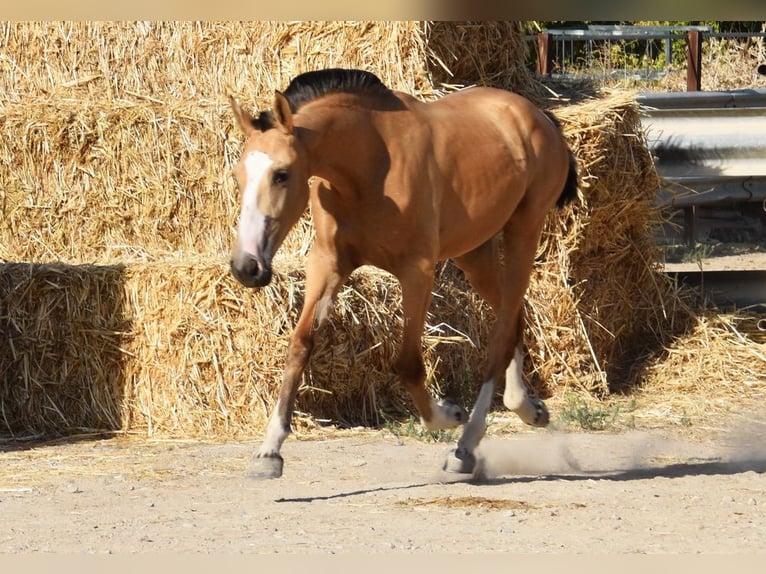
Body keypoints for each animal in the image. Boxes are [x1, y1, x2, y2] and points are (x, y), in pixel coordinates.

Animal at [231, 68, 580, 482]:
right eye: (238, 176)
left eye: (281, 174)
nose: (246, 267)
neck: (370, 166)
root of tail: (540, 117)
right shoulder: (328, 264)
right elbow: (300, 345)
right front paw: (269, 452)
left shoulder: (417, 272)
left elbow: (409, 364)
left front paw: (448, 414)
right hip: (474, 253)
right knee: (513, 319)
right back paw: (527, 407)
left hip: (523, 234)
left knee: (499, 336)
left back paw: (465, 446)